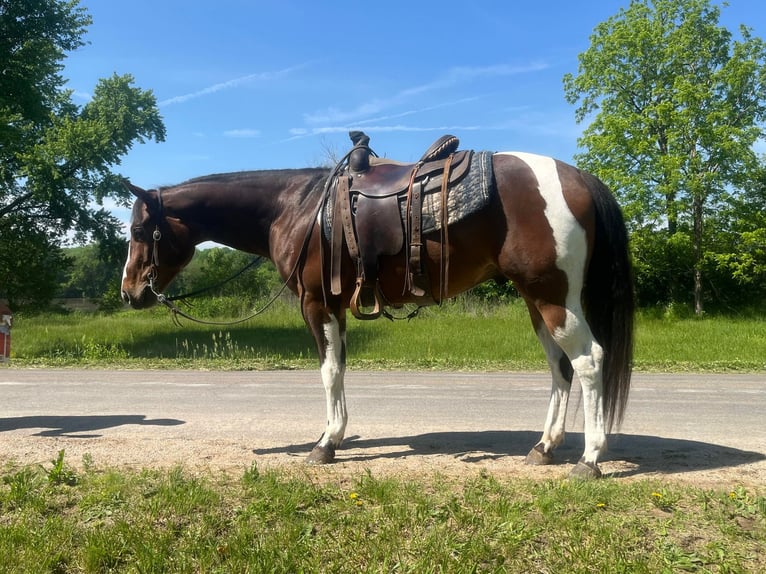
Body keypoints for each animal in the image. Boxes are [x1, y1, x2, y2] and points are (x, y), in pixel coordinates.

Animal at [121, 143, 634, 479]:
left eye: (140, 232)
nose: (129, 292)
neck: (298, 207)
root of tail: (578, 177)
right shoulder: (337, 307)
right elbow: (341, 369)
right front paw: (336, 436)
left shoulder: (317, 303)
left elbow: (328, 372)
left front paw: (325, 443)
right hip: (538, 300)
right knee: (560, 368)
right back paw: (545, 447)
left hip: (552, 297)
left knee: (589, 362)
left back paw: (590, 459)